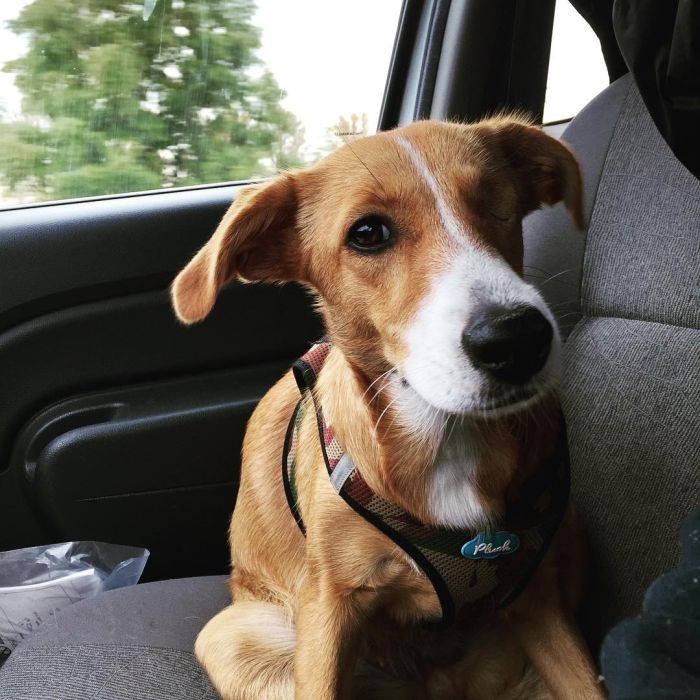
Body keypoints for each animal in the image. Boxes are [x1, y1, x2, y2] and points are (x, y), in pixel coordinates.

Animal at [172, 120, 604, 700]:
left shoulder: (537, 602)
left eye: (497, 201)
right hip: (232, 636)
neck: (447, 437)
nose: (517, 339)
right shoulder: (328, 607)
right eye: (367, 233)